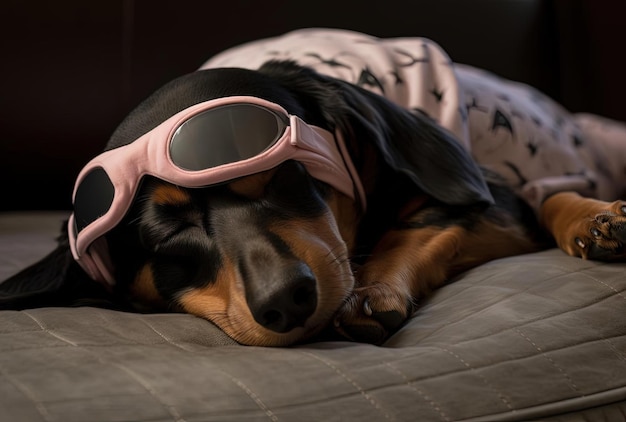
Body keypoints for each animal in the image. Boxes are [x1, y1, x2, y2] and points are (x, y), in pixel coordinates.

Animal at [3, 29, 624, 346]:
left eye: (281, 173)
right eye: (168, 236)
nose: (285, 301)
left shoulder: (492, 201)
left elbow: (422, 225)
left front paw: (372, 290)